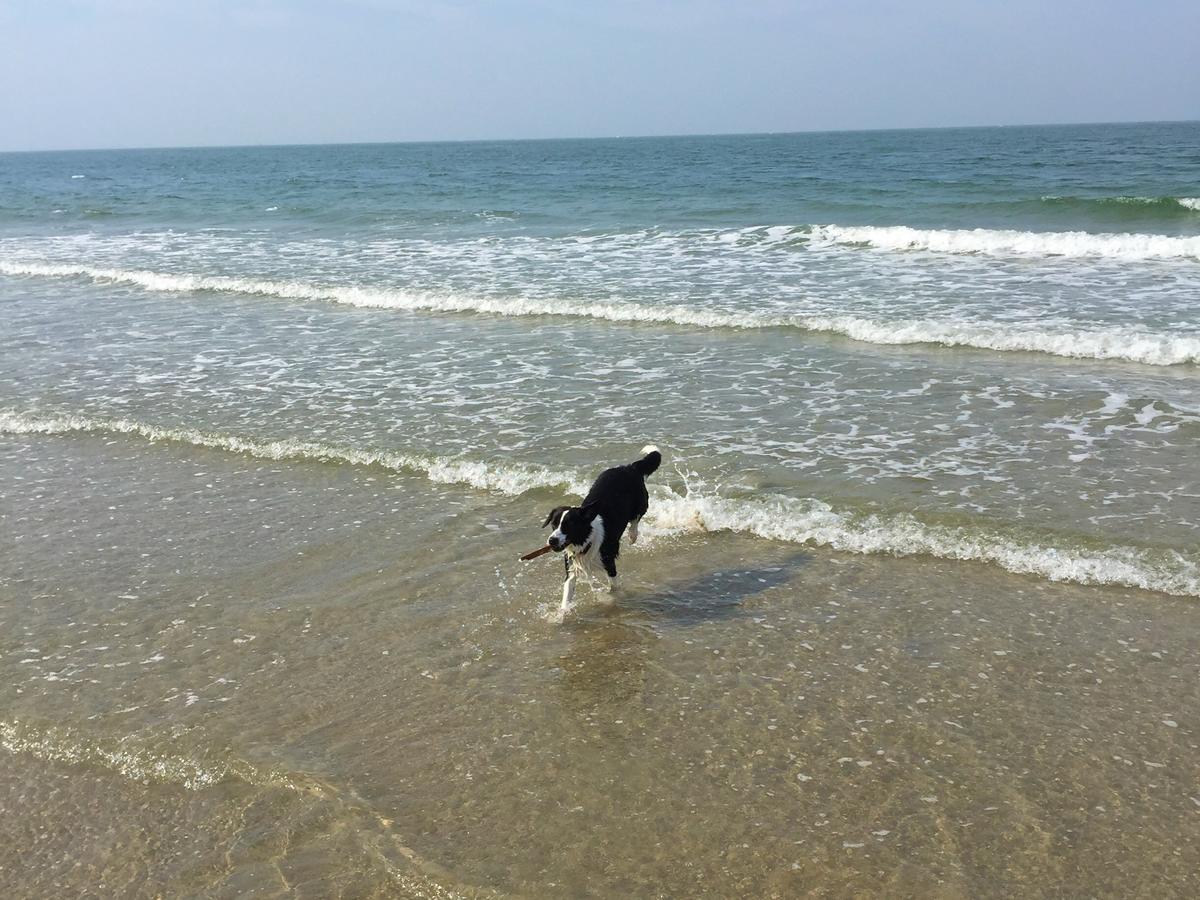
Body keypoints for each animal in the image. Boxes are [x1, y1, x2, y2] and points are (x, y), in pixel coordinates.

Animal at [547, 448, 667, 619]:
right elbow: (567, 595)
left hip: (641, 502)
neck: (585, 541)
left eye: (569, 525)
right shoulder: (571, 568)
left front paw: (610, 600)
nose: (552, 540)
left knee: (636, 517)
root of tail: (630, 467)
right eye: (554, 524)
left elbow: (613, 588)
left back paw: (632, 535)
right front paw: (560, 616)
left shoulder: (609, 563)